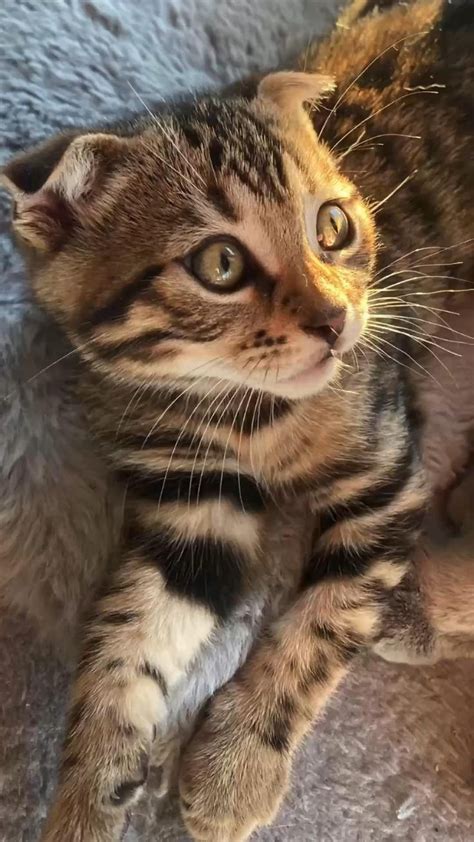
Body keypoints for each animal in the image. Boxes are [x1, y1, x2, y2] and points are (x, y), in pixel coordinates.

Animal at [1, 1, 472, 840]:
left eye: (332, 228)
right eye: (220, 265)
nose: (337, 320)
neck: (243, 410)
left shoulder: (387, 473)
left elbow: (327, 617)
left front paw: (239, 762)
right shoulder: (193, 506)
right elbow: (126, 643)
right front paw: (88, 796)